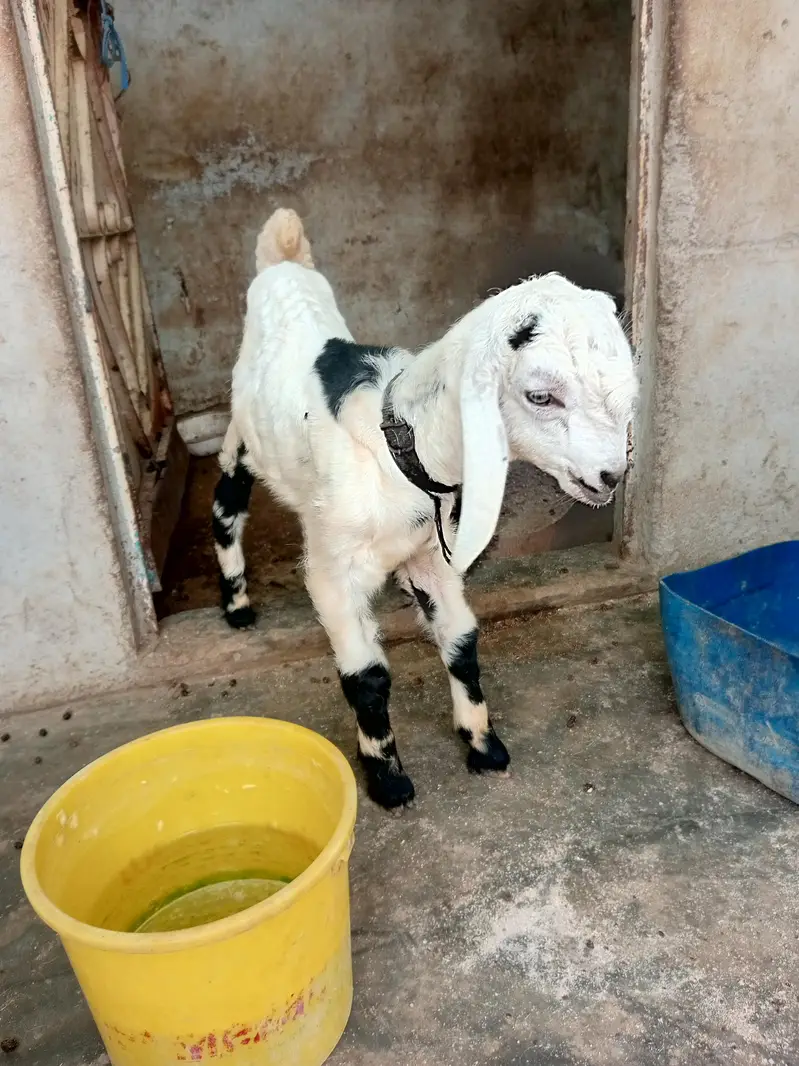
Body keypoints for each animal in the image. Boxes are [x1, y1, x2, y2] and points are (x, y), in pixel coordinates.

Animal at [213, 208, 638, 809]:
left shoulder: (430, 556)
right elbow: (366, 675)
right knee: (227, 502)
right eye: (540, 396)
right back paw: (237, 604)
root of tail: (284, 259)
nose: (611, 475)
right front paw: (387, 779)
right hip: (243, 438)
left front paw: (483, 744)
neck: (398, 446)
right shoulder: (334, 573)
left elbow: (459, 640)